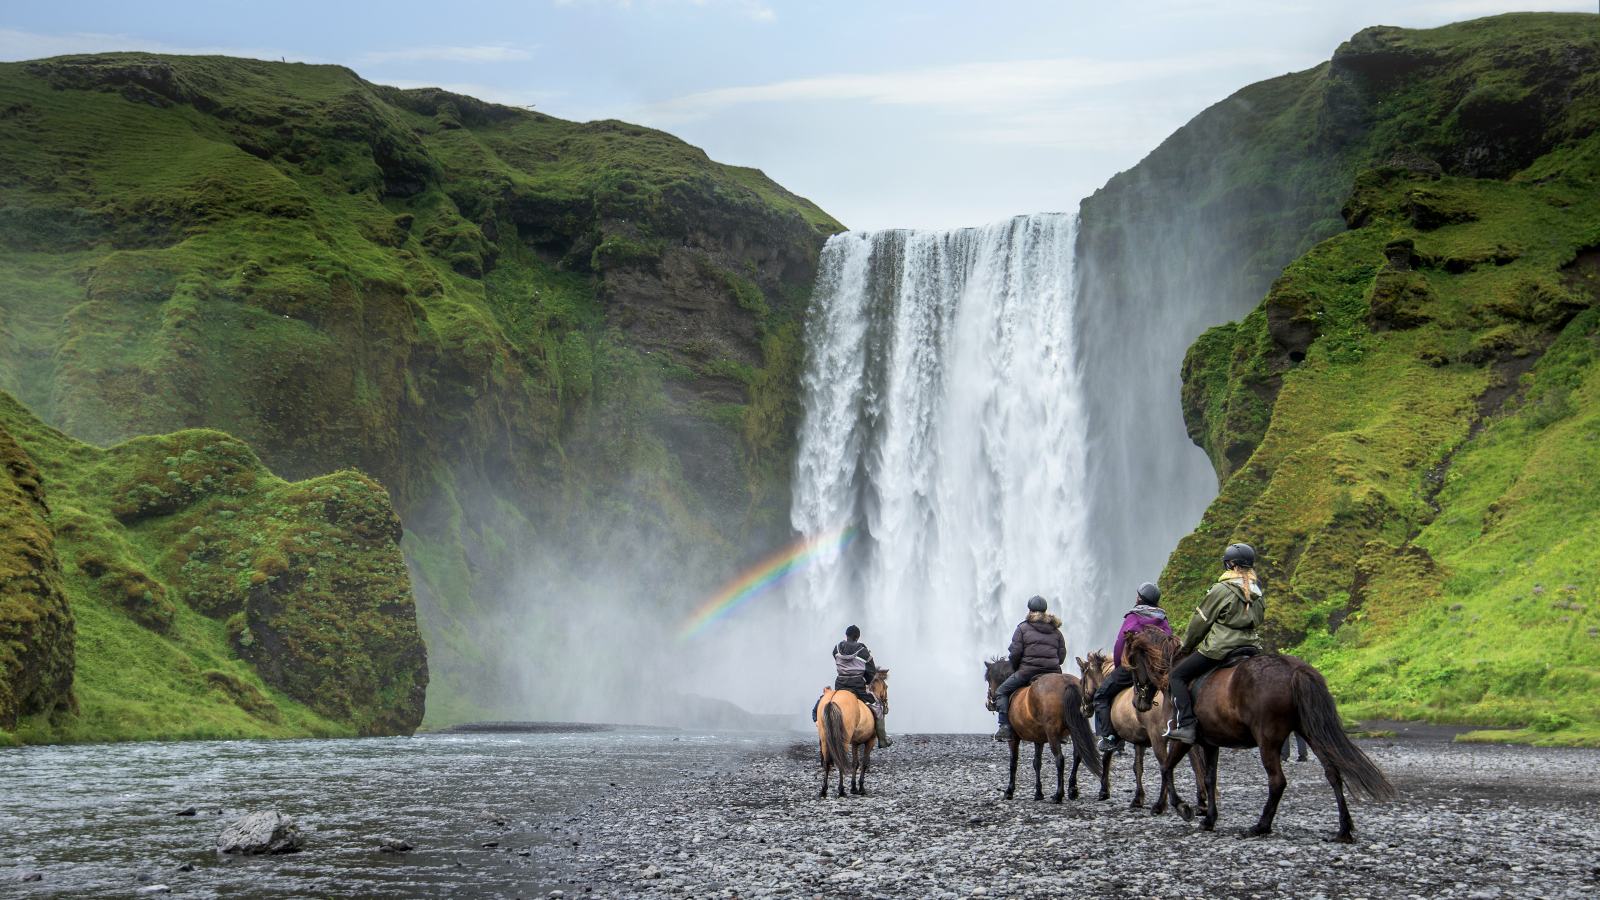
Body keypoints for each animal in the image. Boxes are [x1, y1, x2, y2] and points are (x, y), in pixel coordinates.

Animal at [979, 650, 1107, 797]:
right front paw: (1038, 792)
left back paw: (1058, 794)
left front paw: (1009, 790)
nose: (989, 704)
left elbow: (1013, 762)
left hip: (1052, 734)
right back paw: (1072, 789)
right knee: (1077, 755)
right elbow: (1037, 763)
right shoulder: (1038, 738)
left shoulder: (1014, 738)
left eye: (988, 679)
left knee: (1060, 759)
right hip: (1074, 729)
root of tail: (1067, 682)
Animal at [1120, 624, 1395, 839]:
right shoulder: (1210, 742)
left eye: (1132, 664)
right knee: (1333, 773)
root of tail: (1295, 669)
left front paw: (1181, 807)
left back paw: (1261, 826)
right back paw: (1344, 829)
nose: (1138, 703)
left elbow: (1167, 768)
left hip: (1268, 740)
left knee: (1277, 781)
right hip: (1311, 733)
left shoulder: (1183, 737)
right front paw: (1209, 819)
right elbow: (1210, 778)